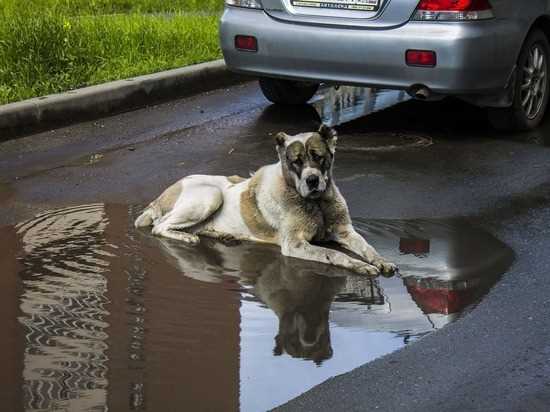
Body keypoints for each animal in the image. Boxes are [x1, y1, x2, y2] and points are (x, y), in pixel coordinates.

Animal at [136, 124, 398, 276]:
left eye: (318, 157)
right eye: (296, 161)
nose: (312, 180)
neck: (317, 203)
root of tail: (160, 196)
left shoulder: (345, 231)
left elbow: (367, 247)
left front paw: (381, 260)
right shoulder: (294, 244)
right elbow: (333, 254)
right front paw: (360, 266)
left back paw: (223, 235)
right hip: (210, 196)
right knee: (160, 226)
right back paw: (186, 237)